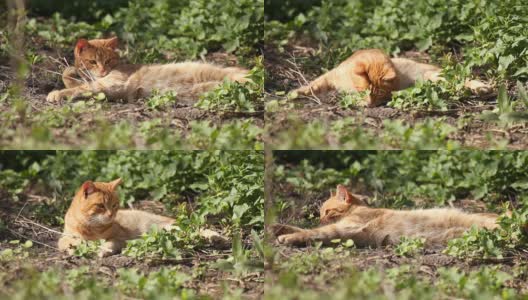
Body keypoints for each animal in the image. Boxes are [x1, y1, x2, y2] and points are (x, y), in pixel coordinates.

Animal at [46, 37, 249, 103]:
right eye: (93, 61)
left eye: (109, 60)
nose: (103, 70)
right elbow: (70, 77)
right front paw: (72, 72)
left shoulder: (110, 83)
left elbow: (78, 87)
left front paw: (56, 93)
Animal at [57, 178, 227, 258]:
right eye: (101, 205)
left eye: (114, 205)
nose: (111, 215)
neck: (91, 227)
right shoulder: (64, 238)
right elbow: (71, 242)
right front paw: (79, 247)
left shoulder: (119, 239)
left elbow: (108, 243)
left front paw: (102, 250)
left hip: (171, 227)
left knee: (197, 230)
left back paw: (217, 238)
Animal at [272, 184, 500, 247]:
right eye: (319, 212)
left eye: (327, 211)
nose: (320, 217)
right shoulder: (348, 234)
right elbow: (309, 230)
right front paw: (279, 227)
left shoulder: (345, 227)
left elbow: (310, 232)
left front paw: (287, 237)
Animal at [292, 48, 490, 106]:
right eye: (364, 91)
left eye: (378, 95)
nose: (369, 105)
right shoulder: (330, 76)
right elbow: (314, 84)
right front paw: (296, 92)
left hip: (436, 75)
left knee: (462, 81)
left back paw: (481, 88)